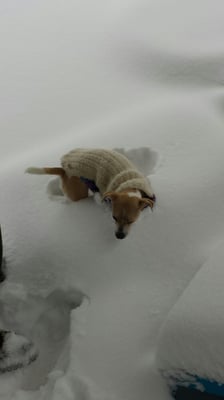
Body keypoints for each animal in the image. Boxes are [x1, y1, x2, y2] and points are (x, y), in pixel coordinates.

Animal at [25, 149, 156, 238]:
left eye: (131, 221)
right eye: (113, 217)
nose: (119, 236)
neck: (129, 185)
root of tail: (63, 170)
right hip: (78, 191)